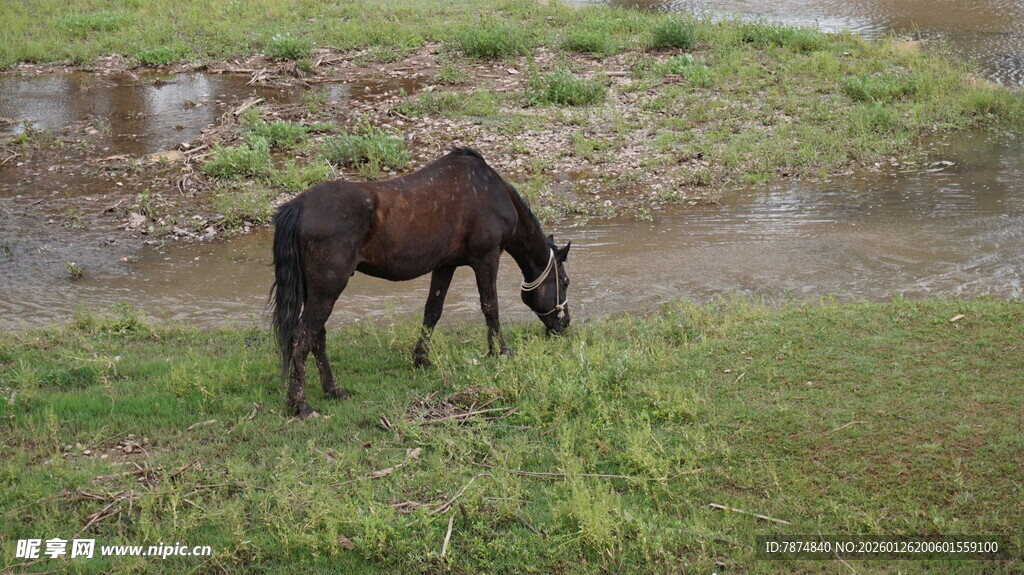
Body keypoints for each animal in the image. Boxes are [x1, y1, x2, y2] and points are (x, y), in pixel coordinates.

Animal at [271, 148, 571, 418]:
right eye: (565, 281)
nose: (565, 324)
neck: (492, 192)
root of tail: (299, 206)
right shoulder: (487, 259)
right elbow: (490, 307)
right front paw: (501, 351)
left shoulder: (445, 265)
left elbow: (432, 311)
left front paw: (421, 358)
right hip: (327, 290)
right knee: (302, 337)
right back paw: (301, 405)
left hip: (315, 291)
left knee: (316, 337)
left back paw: (333, 390)